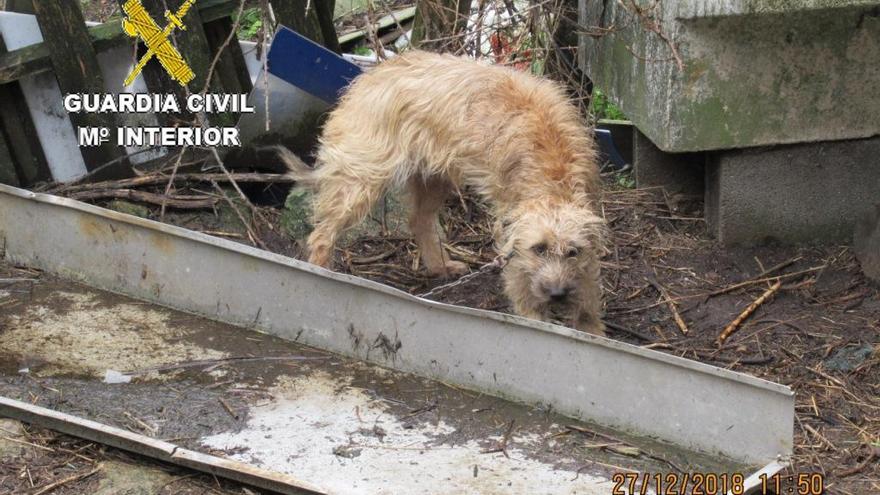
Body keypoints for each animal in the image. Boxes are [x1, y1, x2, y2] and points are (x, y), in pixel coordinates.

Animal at [278, 50, 608, 338]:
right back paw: (323, 272)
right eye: (538, 249)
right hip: (362, 181)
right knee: (322, 233)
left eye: (573, 252)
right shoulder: (512, 238)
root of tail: (366, 78)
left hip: (435, 177)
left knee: (419, 220)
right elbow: (523, 290)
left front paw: (591, 331)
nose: (557, 294)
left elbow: (588, 297)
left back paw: (439, 265)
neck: (553, 174)